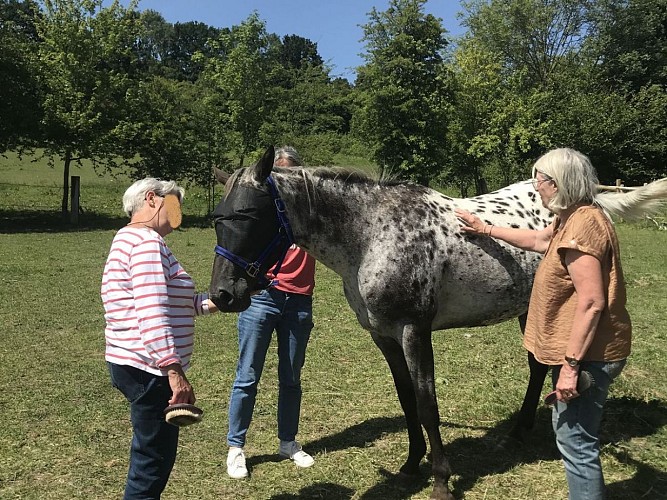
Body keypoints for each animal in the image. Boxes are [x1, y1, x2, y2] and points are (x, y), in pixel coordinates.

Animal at [208, 146, 667, 500]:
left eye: (249, 215)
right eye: (217, 217)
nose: (223, 295)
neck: (371, 235)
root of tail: (583, 200)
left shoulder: (415, 331)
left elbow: (428, 405)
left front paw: (441, 480)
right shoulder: (383, 336)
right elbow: (407, 400)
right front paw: (412, 465)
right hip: (530, 310)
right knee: (540, 366)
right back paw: (519, 431)